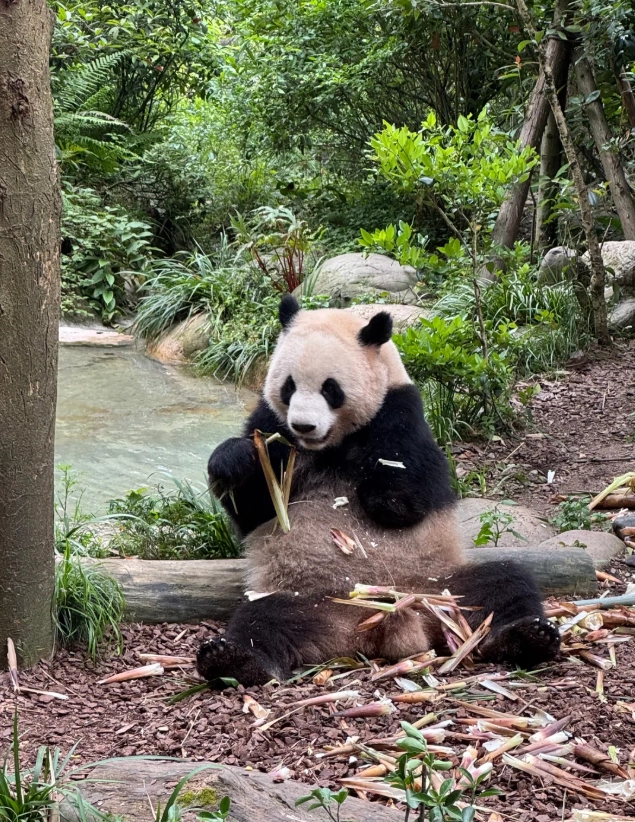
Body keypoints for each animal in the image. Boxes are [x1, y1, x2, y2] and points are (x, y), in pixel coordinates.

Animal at [196, 296, 560, 686]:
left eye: (330, 388)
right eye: (289, 386)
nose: (303, 425)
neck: (331, 445)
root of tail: (373, 622)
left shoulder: (404, 410)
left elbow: (403, 499)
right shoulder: (270, 423)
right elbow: (256, 509)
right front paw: (234, 459)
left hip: (439, 587)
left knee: (504, 584)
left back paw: (527, 636)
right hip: (306, 600)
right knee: (262, 618)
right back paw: (232, 658)